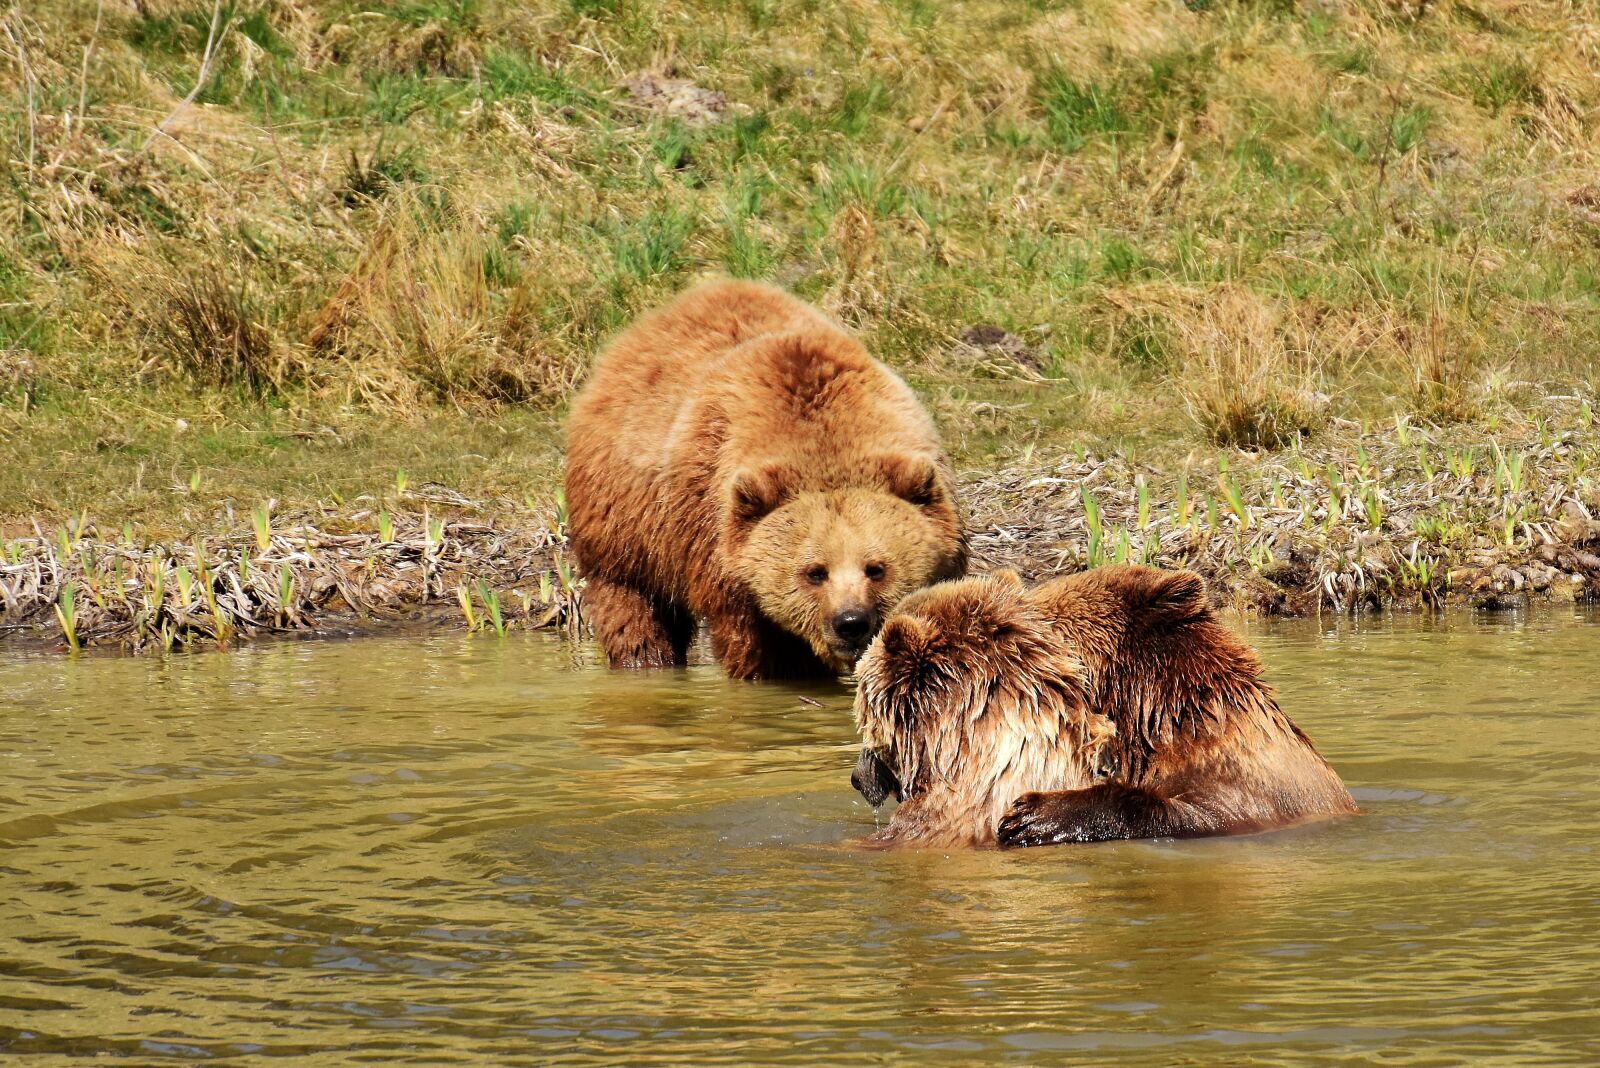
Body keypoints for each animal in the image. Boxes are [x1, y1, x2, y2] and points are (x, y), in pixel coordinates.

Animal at [565, 279, 966, 681]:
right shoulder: (718, 541)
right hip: (626, 521)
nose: (851, 622)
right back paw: (645, 661)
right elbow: (756, 648)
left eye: (877, 568)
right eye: (814, 572)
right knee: (632, 605)